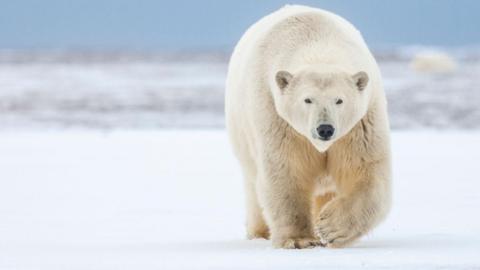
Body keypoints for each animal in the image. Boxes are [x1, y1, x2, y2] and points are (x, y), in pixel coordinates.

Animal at [225, 4, 390, 249]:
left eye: (339, 100)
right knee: (254, 187)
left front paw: (329, 228)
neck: (316, 40)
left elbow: (366, 170)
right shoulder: (277, 117)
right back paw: (259, 232)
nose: (325, 129)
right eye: (307, 99)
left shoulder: (361, 123)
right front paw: (299, 239)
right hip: (243, 137)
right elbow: (286, 170)